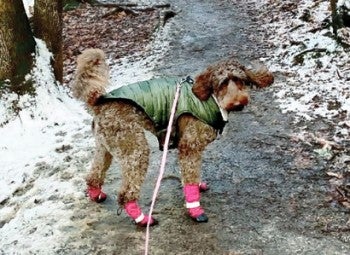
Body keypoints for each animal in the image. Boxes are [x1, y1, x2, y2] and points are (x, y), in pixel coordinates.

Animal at [71, 48, 274, 227]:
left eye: (240, 80)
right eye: (222, 84)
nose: (239, 103)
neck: (211, 99)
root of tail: (98, 101)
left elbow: (191, 173)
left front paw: (197, 185)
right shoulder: (190, 146)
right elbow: (190, 177)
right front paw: (195, 210)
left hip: (106, 146)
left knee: (94, 174)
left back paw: (96, 194)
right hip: (135, 150)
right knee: (126, 193)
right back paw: (142, 219)